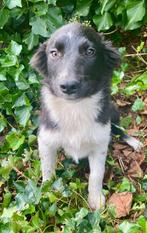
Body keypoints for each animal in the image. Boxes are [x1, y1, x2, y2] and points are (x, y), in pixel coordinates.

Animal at [30, 22, 142, 210]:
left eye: (90, 51)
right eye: (54, 53)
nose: (68, 86)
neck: (75, 109)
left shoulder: (100, 144)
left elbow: (96, 175)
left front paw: (95, 199)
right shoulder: (46, 140)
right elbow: (47, 170)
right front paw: (48, 192)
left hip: (112, 111)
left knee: (119, 129)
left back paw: (135, 142)